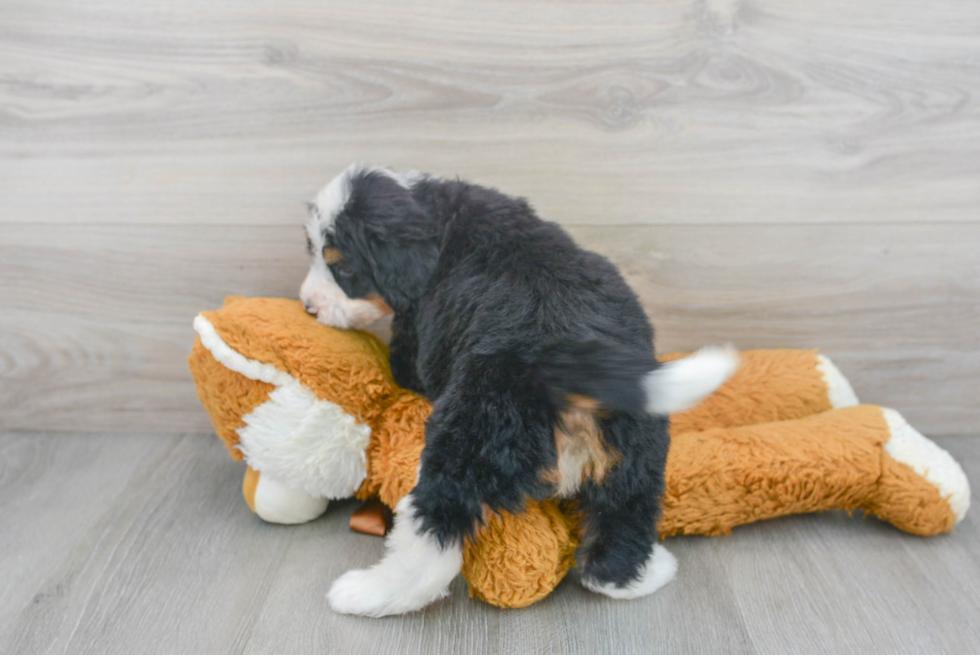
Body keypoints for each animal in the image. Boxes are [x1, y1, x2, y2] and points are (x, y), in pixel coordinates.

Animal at [302, 164, 740, 616]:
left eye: (344, 270)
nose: (308, 306)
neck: (438, 218)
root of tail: (563, 362)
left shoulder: (413, 334)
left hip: (470, 435)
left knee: (434, 534)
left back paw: (365, 593)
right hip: (634, 454)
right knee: (621, 527)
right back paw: (649, 573)